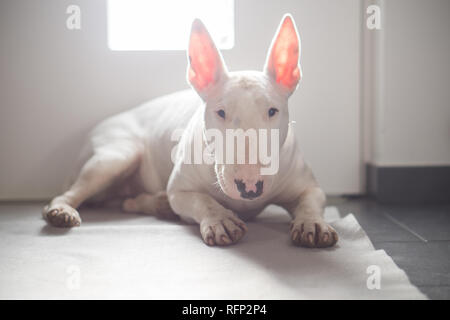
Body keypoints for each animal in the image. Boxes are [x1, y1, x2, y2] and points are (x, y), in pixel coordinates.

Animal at [43, 13, 338, 249]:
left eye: (272, 111)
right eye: (221, 112)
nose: (250, 187)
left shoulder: (308, 185)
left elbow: (311, 199)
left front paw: (312, 224)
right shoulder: (180, 190)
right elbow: (200, 201)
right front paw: (220, 220)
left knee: (124, 202)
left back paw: (157, 205)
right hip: (117, 155)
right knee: (75, 191)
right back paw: (61, 211)